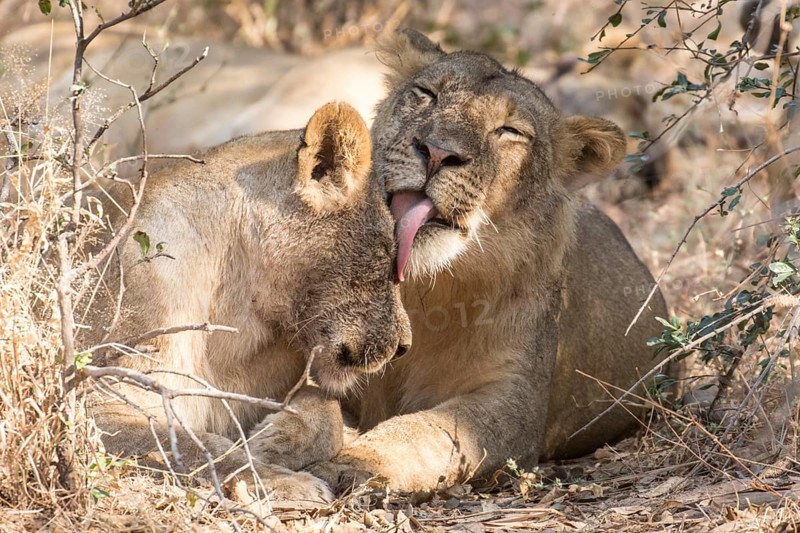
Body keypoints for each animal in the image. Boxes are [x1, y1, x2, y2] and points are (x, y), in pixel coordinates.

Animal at [82, 102, 411, 502]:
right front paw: (281, 480)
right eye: (386, 253)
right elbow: (197, 447)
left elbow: (327, 408)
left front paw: (272, 442)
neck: (237, 302)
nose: (405, 346)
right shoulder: (102, 391)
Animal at [310, 31, 669, 492]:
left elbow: (424, 432)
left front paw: (353, 463)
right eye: (426, 94)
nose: (436, 152)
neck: (426, 290)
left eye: (509, 131)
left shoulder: (513, 403)